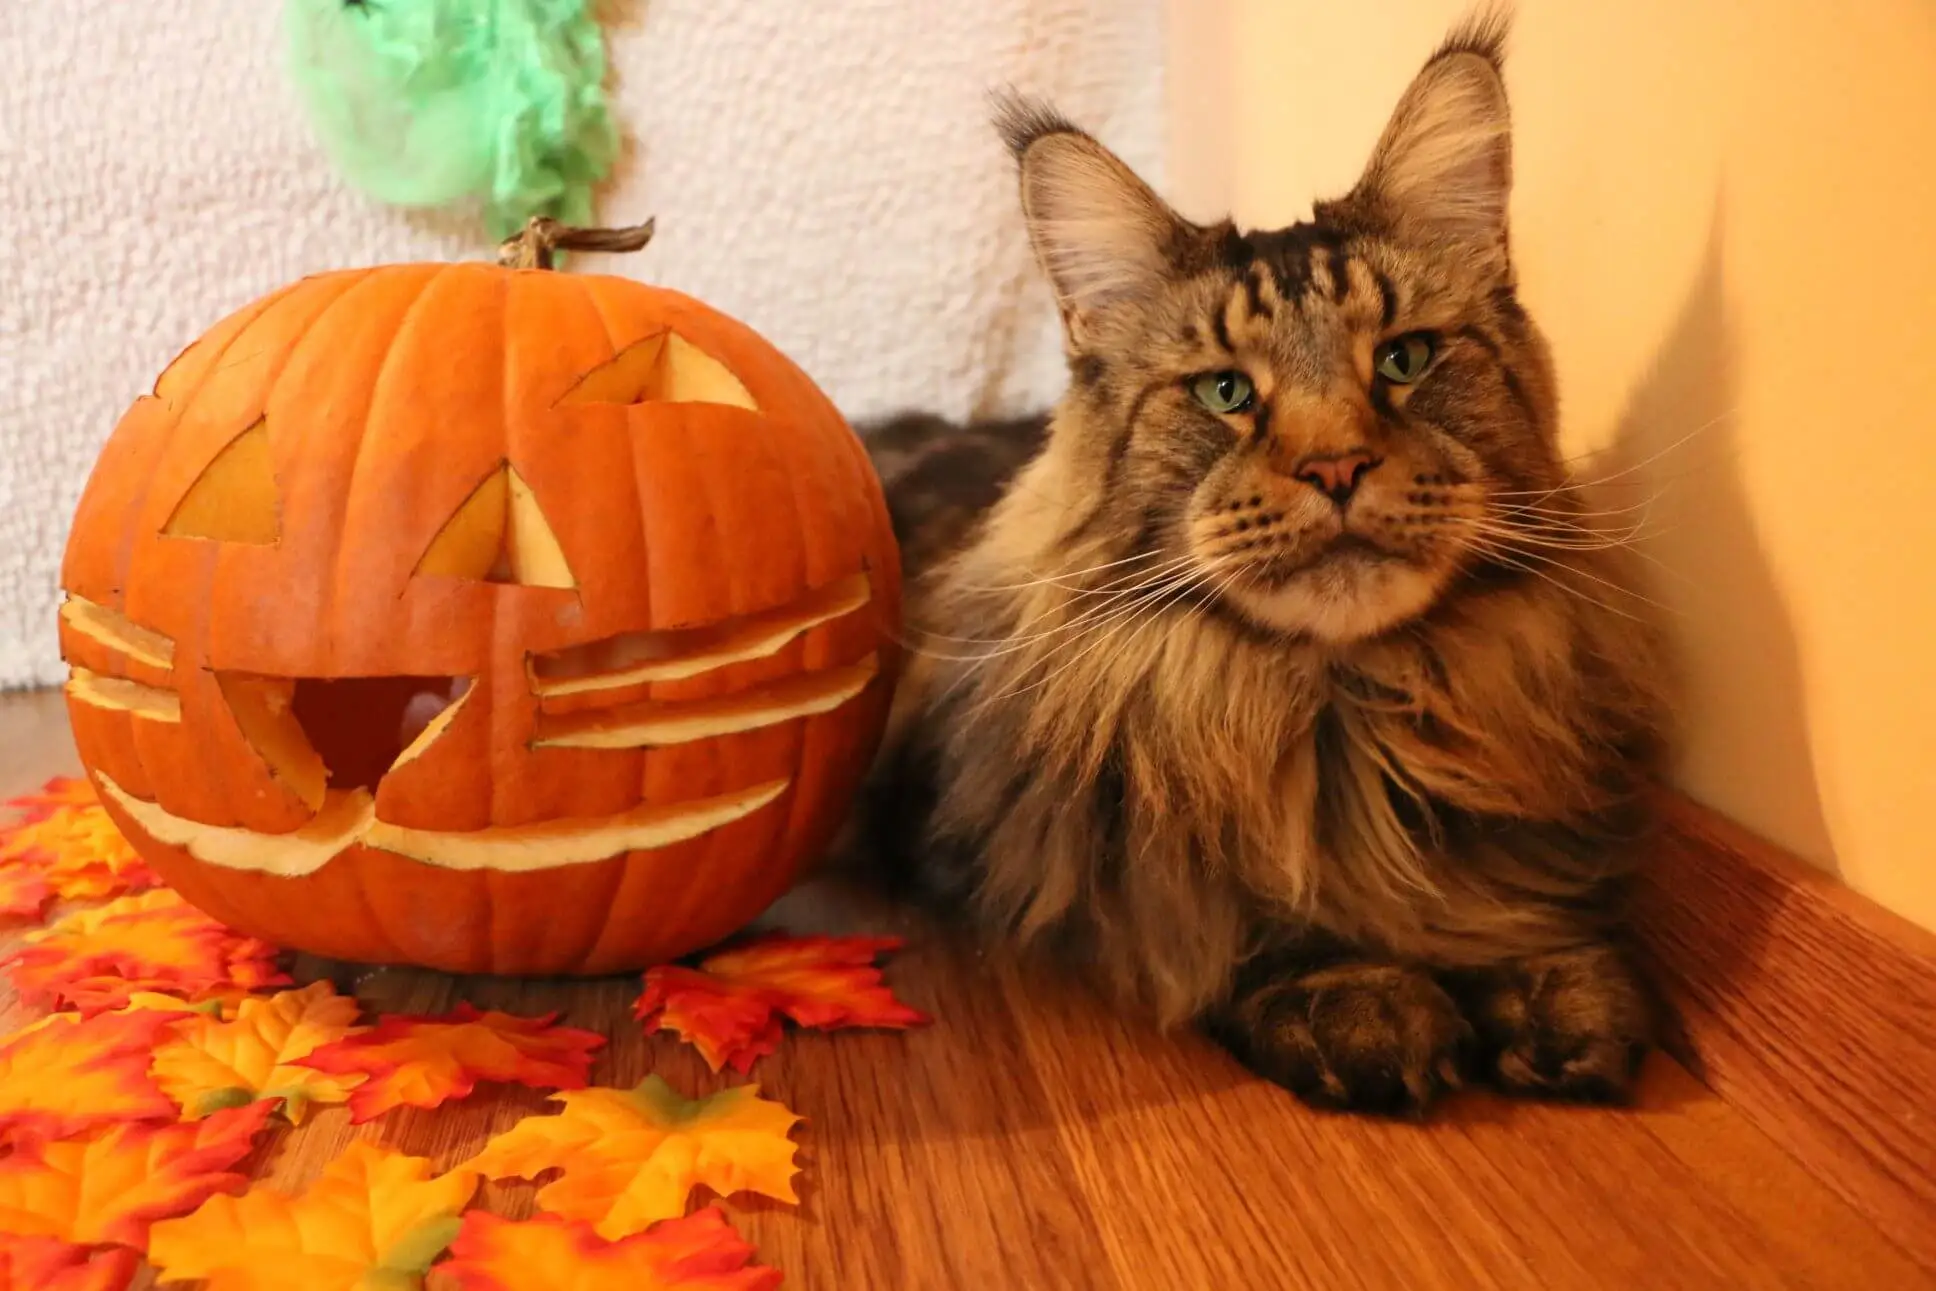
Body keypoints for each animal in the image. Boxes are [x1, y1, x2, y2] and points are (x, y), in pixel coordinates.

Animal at [859, 15, 1664, 1114]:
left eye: (1405, 360)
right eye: (1225, 392)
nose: (1336, 466)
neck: (1341, 710)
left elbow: (1501, 882)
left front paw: (1539, 966)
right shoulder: (1061, 865)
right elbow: (1224, 919)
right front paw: (1355, 991)